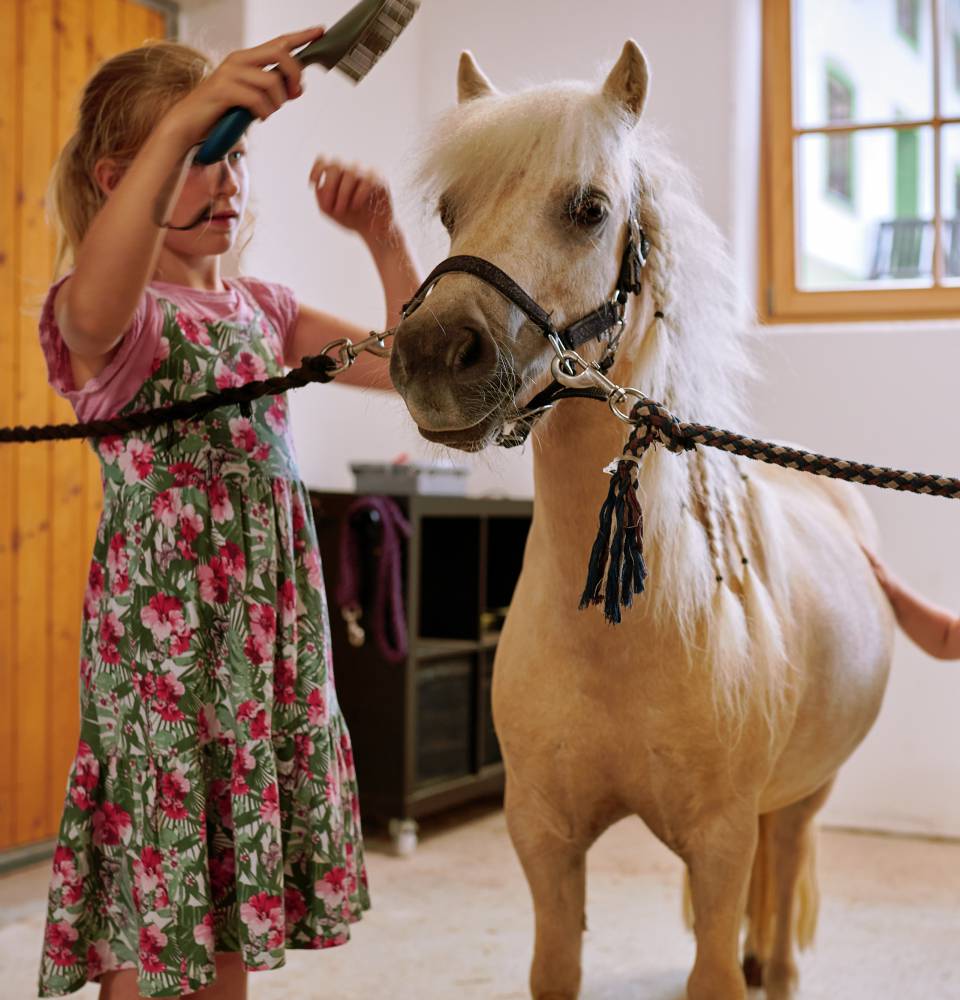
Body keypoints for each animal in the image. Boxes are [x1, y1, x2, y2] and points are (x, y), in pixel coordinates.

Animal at [389, 41, 893, 1000]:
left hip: (805, 794)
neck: (622, 637)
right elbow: (556, 968)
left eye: (589, 210)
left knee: (784, 882)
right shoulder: (542, 836)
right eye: (449, 211)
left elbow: (718, 971)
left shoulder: (720, 842)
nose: (434, 355)